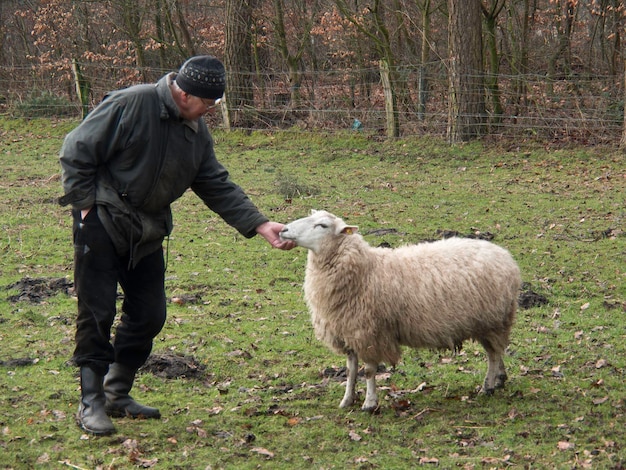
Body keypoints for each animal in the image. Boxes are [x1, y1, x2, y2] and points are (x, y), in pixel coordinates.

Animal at [280, 210, 520, 412]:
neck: (366, 270)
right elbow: (350, 370)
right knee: (496, 351)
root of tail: (507, 258)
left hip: (491, 320)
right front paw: (347, 400)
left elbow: (368, 371)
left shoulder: (369, 333)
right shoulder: (348, 332)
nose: (283, 229)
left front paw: (369, 403)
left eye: (322, 225)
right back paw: (499, 379)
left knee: (492, 354)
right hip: (490, 322)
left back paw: (488, 386)